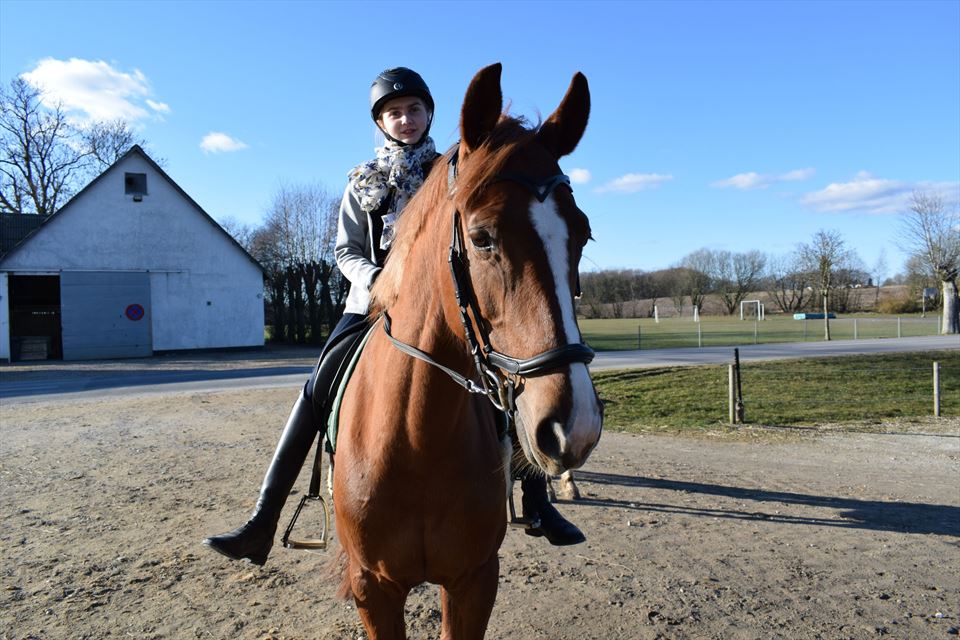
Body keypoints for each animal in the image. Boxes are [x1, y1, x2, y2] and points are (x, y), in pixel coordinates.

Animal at [332, 63, 604, 639]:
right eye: (481, 238)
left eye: (583, 236)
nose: (575, 427)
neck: (417, 437)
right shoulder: (374, 588)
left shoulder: (473, 580)